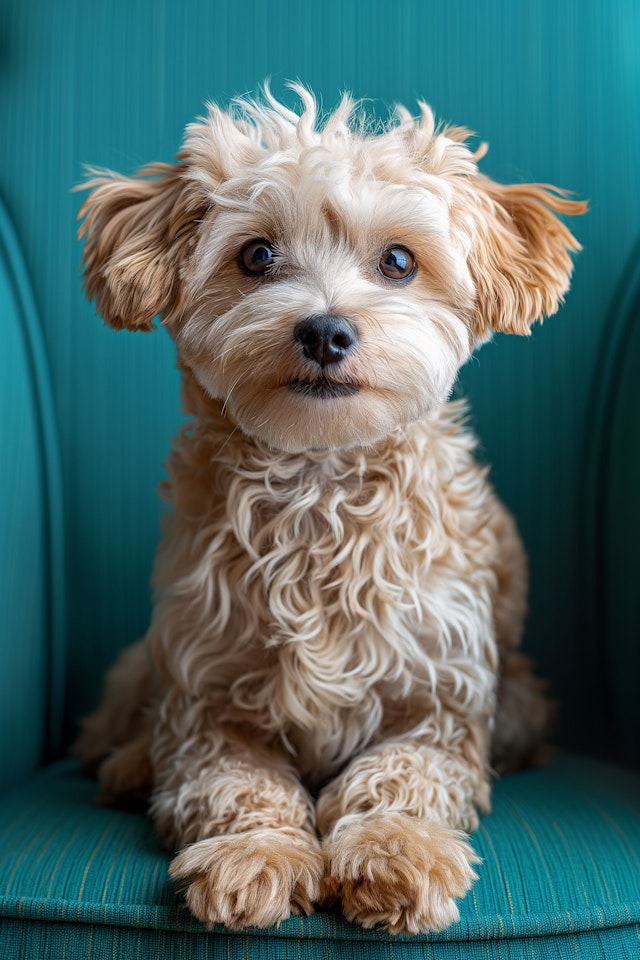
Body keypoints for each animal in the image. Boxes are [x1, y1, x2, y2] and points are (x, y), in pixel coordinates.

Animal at [75, 86, 584, 932]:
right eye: (256, 256)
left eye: (400, 261)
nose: (325, 330)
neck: (319, 486)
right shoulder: (203, 695)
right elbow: (235, 784)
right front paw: (255, 854)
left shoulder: (444, 701)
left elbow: (400, 775)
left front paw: (393, 850)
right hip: (140, 666)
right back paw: (127, 764)